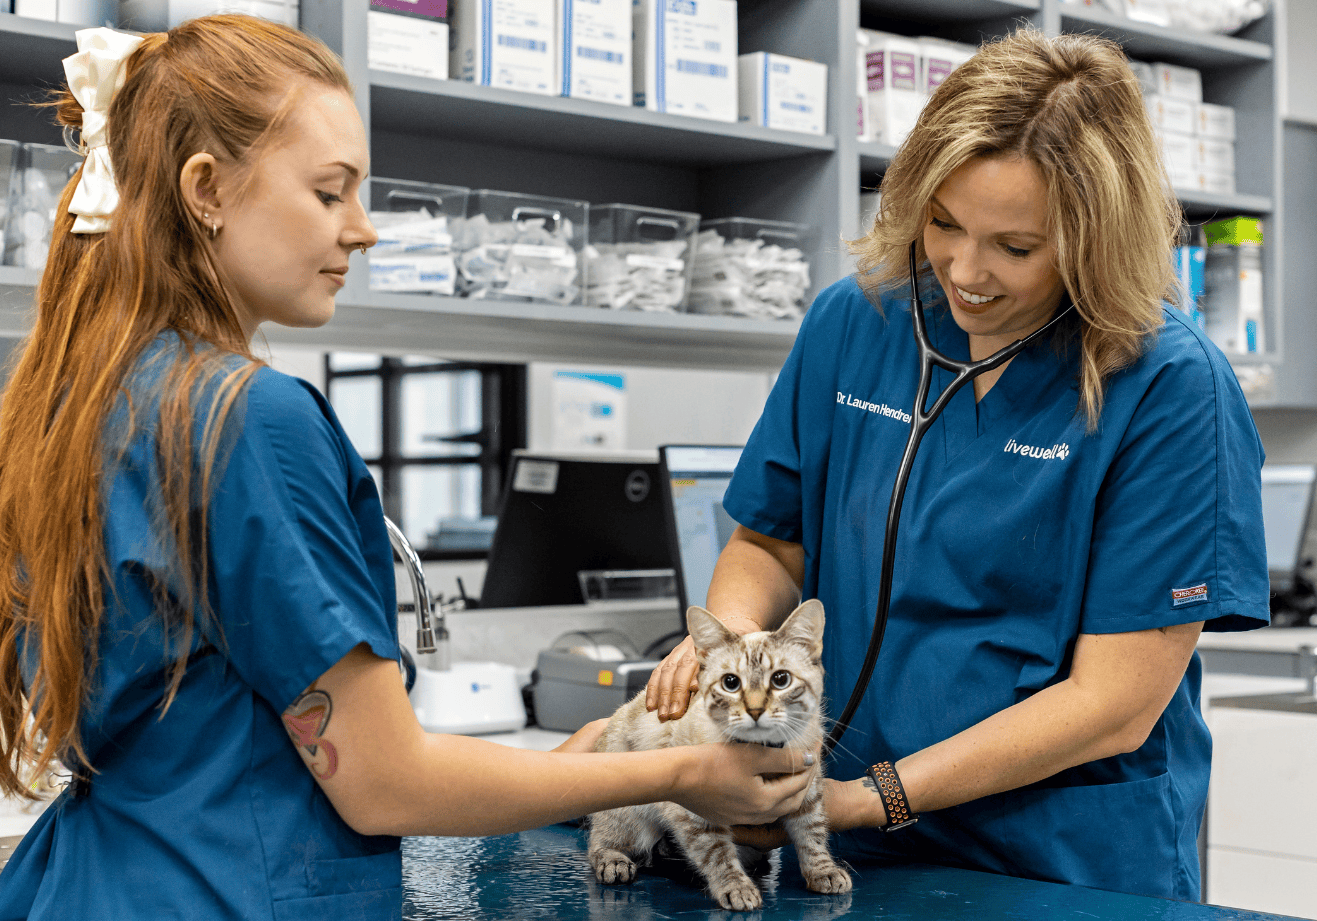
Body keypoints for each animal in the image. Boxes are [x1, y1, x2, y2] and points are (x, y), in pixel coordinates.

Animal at [584, 600, 848, 911]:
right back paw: (614, 862)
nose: (755, 710)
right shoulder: (693, 811)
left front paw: (824, 872)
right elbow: (718, 854)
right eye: (730, 683)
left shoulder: (808, 791)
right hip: (629, 814)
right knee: (601, 841)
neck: (763, 751)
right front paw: (737, 889)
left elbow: (813, 834)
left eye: (781, 679)